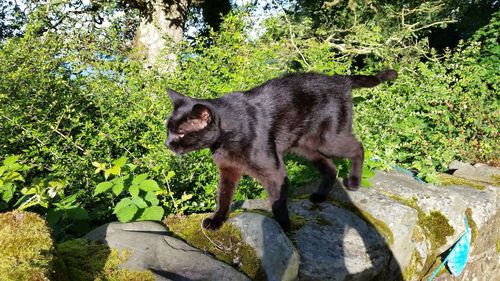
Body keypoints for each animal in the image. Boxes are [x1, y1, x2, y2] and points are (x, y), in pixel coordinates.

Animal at [166, 69, 396, 230]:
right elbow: (223, 198)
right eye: (168, 129)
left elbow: (277, 202)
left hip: (329, 141)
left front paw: (285, 228)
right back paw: (320, 196)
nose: (167, 144)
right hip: (307, 147)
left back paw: (354, 182)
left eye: (180, 133)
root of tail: (340, 80)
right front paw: (217, 221)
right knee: (331, 167)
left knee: (358, 147)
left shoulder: (274, 172)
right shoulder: (228, 170)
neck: (228, 135)